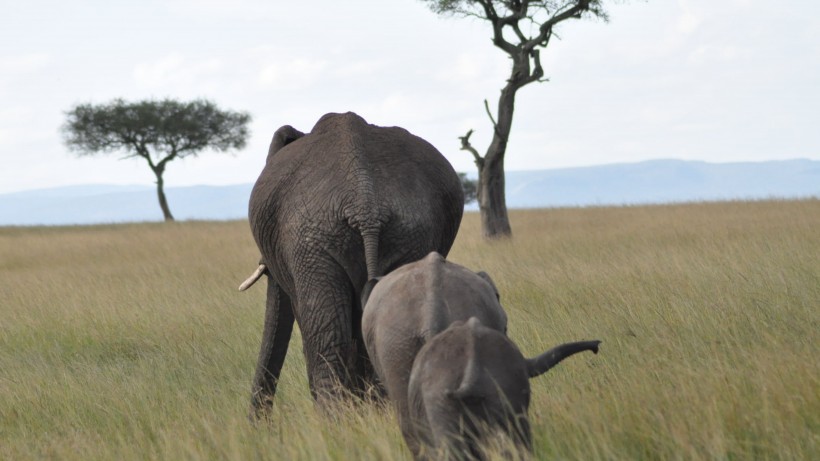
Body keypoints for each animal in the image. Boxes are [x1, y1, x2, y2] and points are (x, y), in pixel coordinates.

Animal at [240, 112, 464, 416]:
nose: (259, 422)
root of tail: (365, 204)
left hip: (314, 243)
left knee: (327, 341)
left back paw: (336, 421)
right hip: (407, 236)